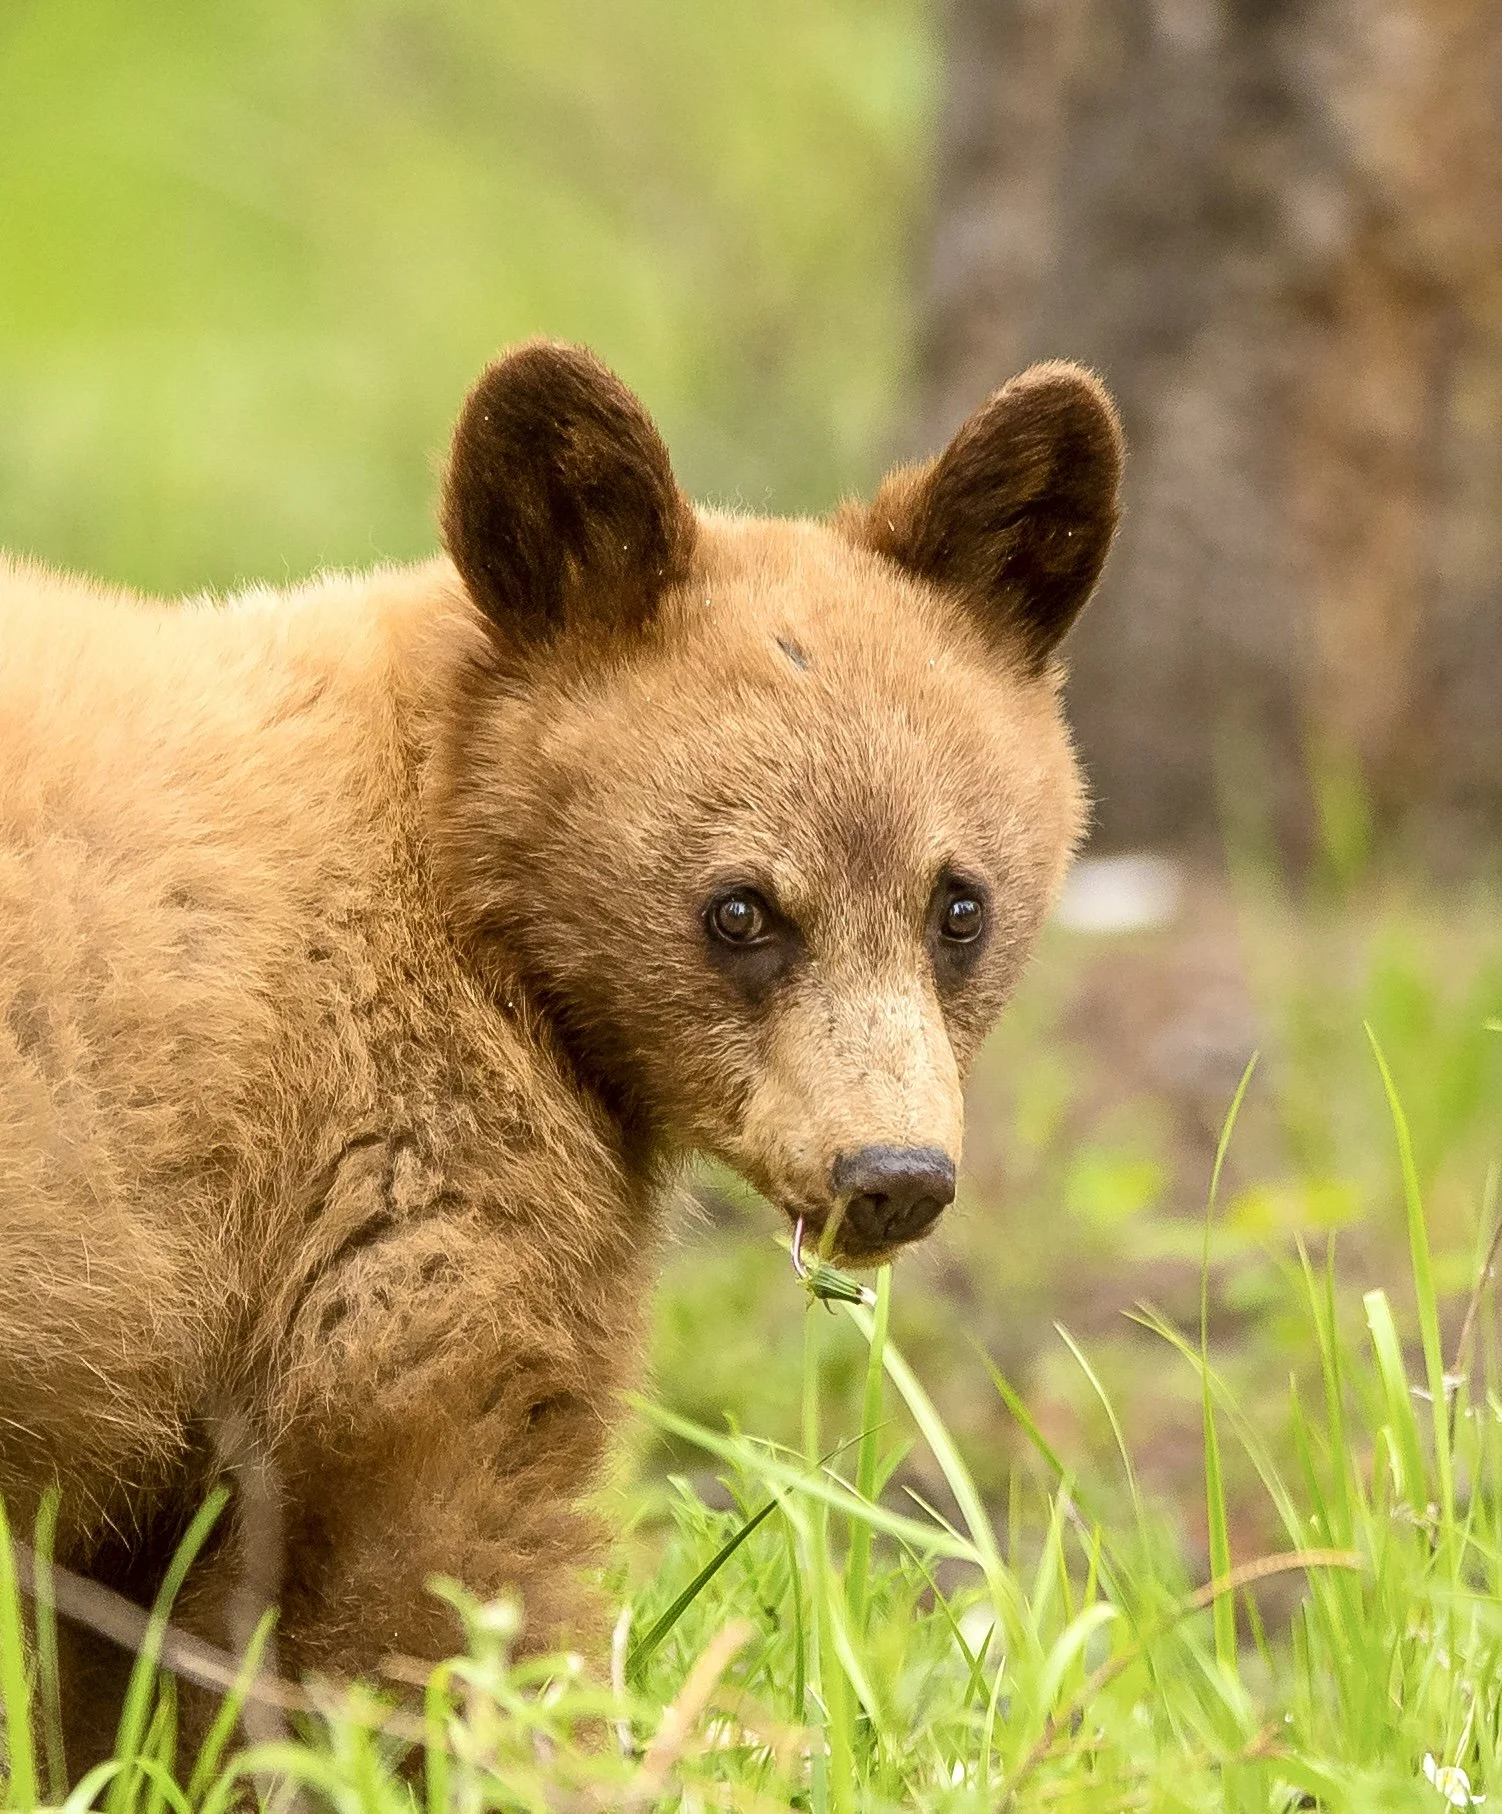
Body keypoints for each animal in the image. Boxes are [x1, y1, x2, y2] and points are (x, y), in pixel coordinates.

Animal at [0, 340, 1122, 1762]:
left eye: (957, 903)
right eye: (739, 907)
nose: (891, 1174)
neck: (461, 876)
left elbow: (123, 1655)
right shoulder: (392, 1169)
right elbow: (440, 1557)